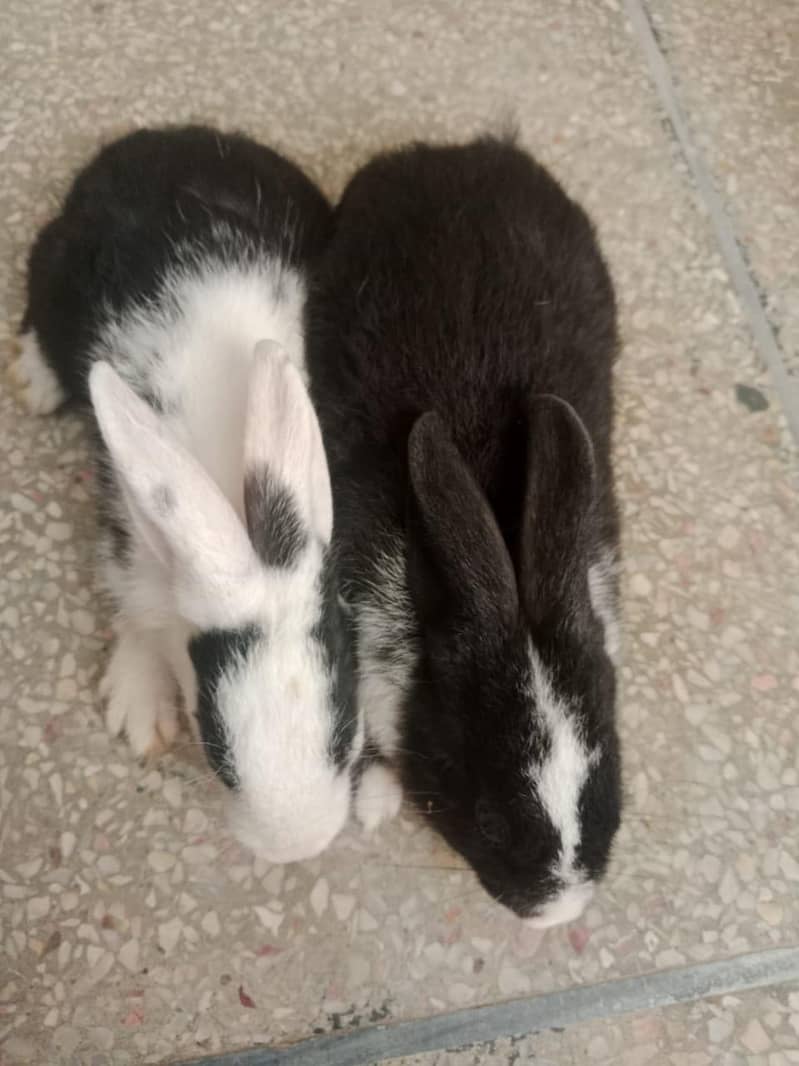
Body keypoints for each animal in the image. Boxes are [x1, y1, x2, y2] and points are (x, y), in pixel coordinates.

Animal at [15, 125, 362, 863]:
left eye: (345, 734)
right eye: (217, 751)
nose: (297, 845)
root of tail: (162, 139)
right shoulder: (131, 540)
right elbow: (137, 615)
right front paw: (139, 710)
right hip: (55, 264)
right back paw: (34, 380)